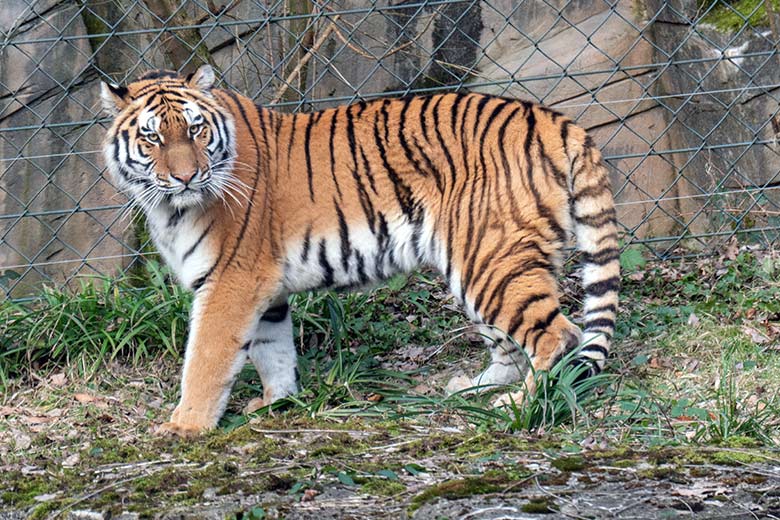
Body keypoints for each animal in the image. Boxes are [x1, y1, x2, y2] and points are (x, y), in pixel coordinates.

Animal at [100, 66, 620, 438]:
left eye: (195, 129)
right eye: (152, 136)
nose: (187, 177)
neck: (169, 206)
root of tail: (553, 118)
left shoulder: (231, 280)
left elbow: (205, 360)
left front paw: (184, 426)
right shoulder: (265, 287)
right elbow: (273, 349)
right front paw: (277, 402)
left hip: (492, 258)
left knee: (560, 336)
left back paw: (519, 406)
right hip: (480, 263)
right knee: (511, 342)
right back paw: (471, 388)